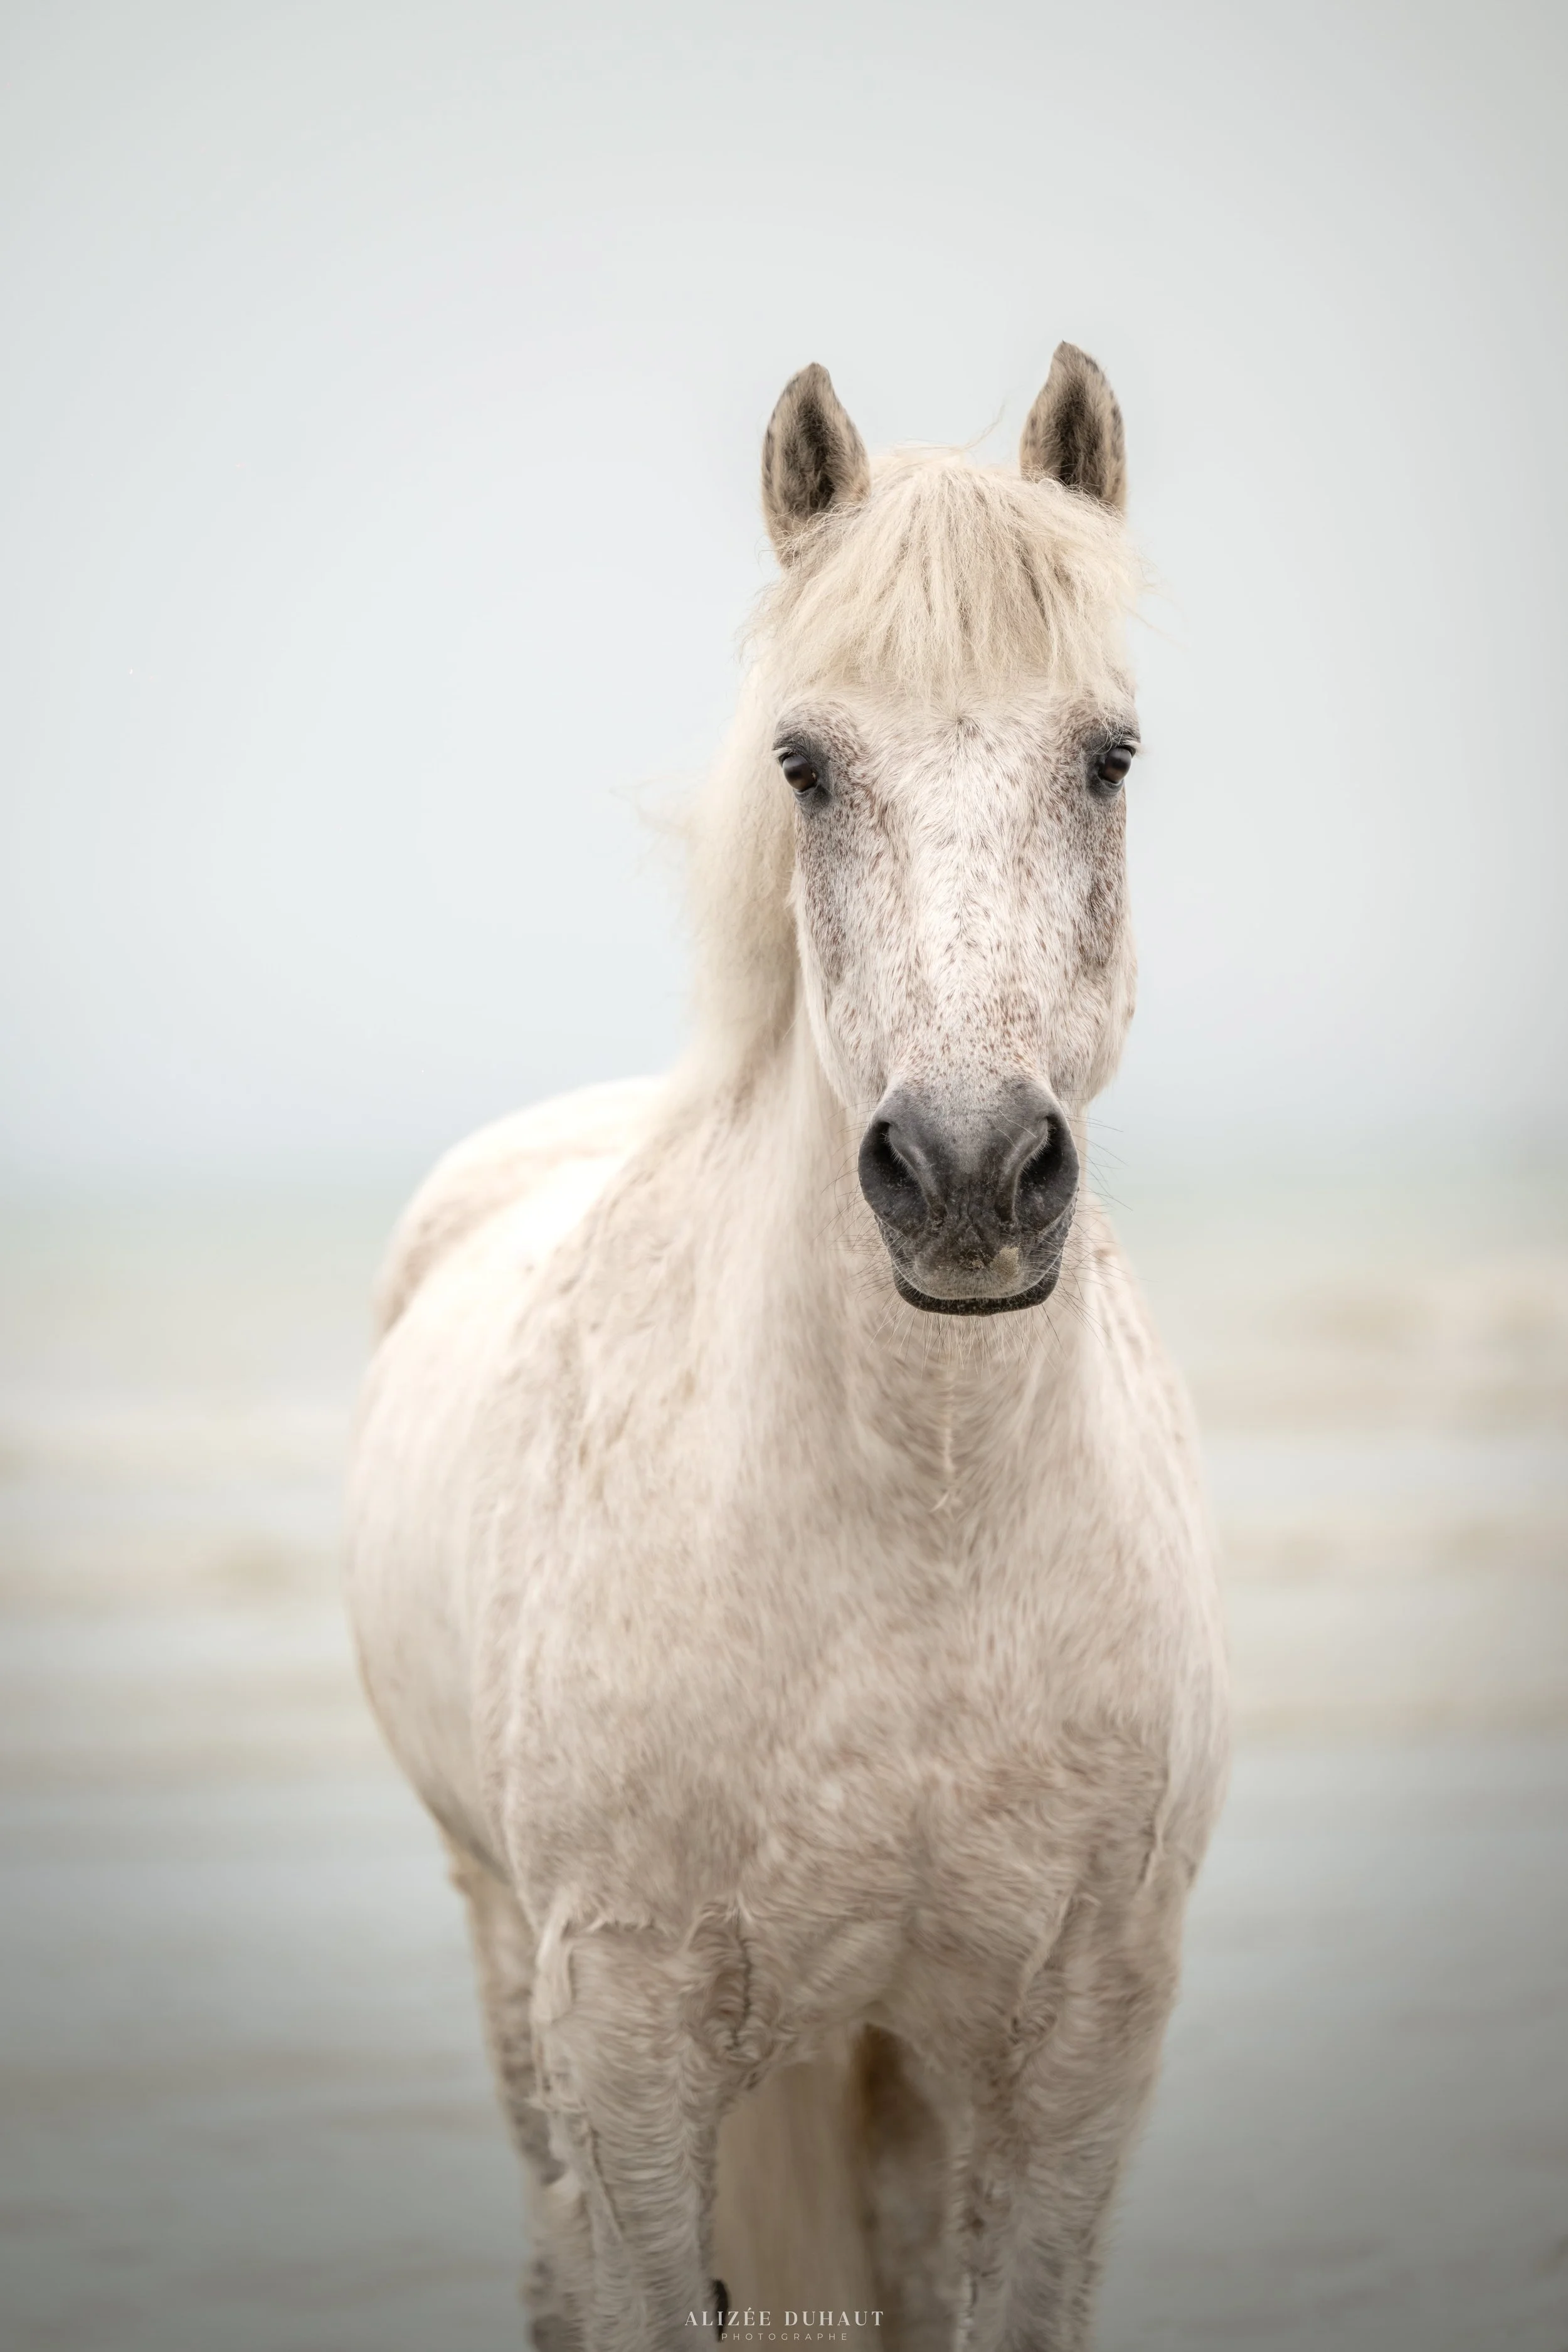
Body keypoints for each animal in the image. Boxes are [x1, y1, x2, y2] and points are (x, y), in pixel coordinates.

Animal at [346, 343, 1229, 2352]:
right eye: (805, 764)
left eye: (1109, 755)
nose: (968, 1174)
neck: (921, 1529)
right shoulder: (627, 2043)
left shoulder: (1079, 2045)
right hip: (511, 1967)